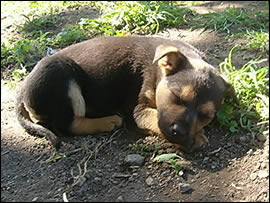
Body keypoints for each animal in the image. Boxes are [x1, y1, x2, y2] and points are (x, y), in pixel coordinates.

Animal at [15, 35, 237, 151]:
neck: (158, 72)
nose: (179, 133)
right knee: (67, 125)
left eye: (205, 116)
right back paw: (107, 121)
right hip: (60, 73)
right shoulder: (138, 110)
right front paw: (197, 137)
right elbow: (154, 118)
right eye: (176, 97)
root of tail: (23, 88)